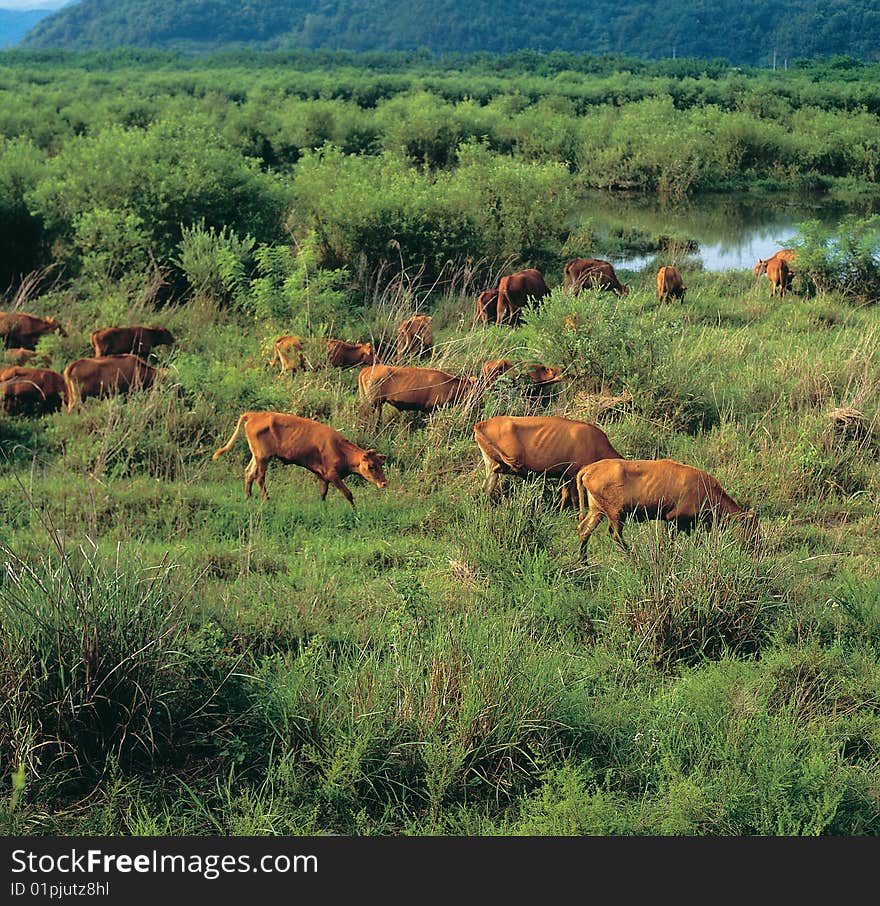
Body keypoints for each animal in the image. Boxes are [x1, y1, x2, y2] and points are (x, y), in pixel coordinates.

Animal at [211, 408, 386, 504]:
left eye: (381, 465)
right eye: (371, 466)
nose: (384, 483)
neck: (340, 449)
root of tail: (255, 415)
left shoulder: (322, 476)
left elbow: (322, 494)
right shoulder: (332, 474)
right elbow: (348, 494)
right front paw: (355, 511)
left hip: (257, 456)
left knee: (249, 473)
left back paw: (248, 497)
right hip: (263, 457)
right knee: (259, 477)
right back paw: (266, 499)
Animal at [470, 412, 624, 508]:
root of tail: (481, 424)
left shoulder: (565, 476)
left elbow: (565, 495)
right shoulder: (573, 473)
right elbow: (574, 498)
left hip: (490, 463)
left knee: (486, 488)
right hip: (507, 460)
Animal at [576, 460, 756, 556]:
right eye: (750, 529)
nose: (755, 547)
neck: (708, 490)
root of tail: (589, 468)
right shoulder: (674, 520)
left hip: (597, 511)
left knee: (585, 530)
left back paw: (583, 562)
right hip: (616, 514)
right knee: (615, 535)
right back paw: (633, 557)